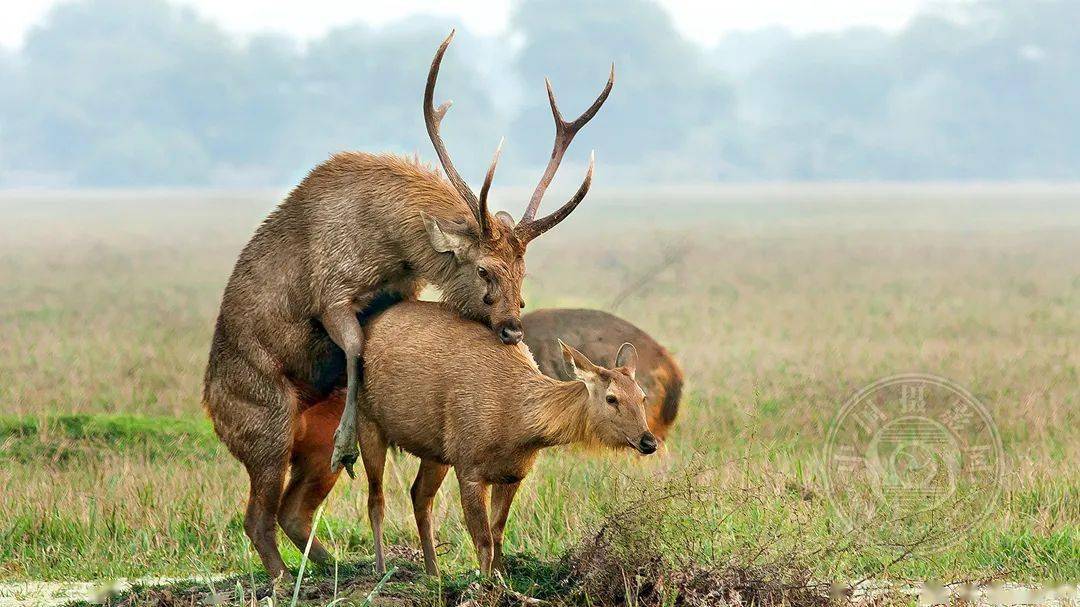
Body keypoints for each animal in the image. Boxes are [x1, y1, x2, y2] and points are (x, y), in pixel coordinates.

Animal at [198, 30, 613, 578]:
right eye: (483, 269)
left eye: (524, 272)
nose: (511, 329)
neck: (389, 241)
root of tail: (209, 405)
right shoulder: (331, 290)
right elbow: (354, 347)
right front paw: (349, 443)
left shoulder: (401, 291)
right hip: (264, 429)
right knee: (256, 517)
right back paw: (288, 575)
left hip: (306, 442)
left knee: (292, 512)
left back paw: (336, 567)